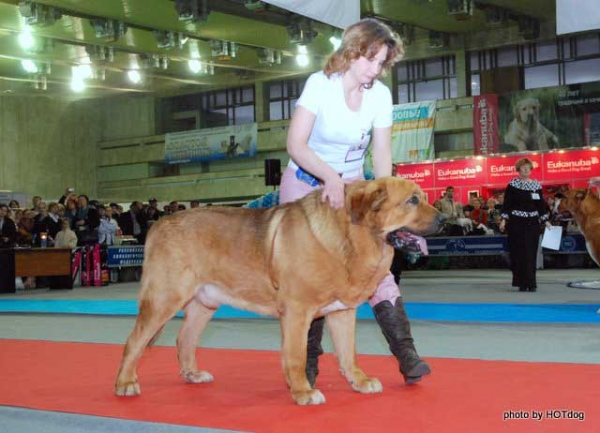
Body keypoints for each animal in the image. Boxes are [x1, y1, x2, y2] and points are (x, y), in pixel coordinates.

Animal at [115, 176, 442, 404]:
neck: (350, 235)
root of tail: (158, 224)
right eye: (412, 200)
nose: (442, 218)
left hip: (203, 303)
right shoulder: (297, 311)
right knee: (134, 341)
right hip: (164, 298)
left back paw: (192, 374)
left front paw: (359, 382)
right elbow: (297, 355)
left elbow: (348, 353)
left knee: (184, 338)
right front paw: (303, 392)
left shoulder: (342, 312)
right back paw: (125, 383)